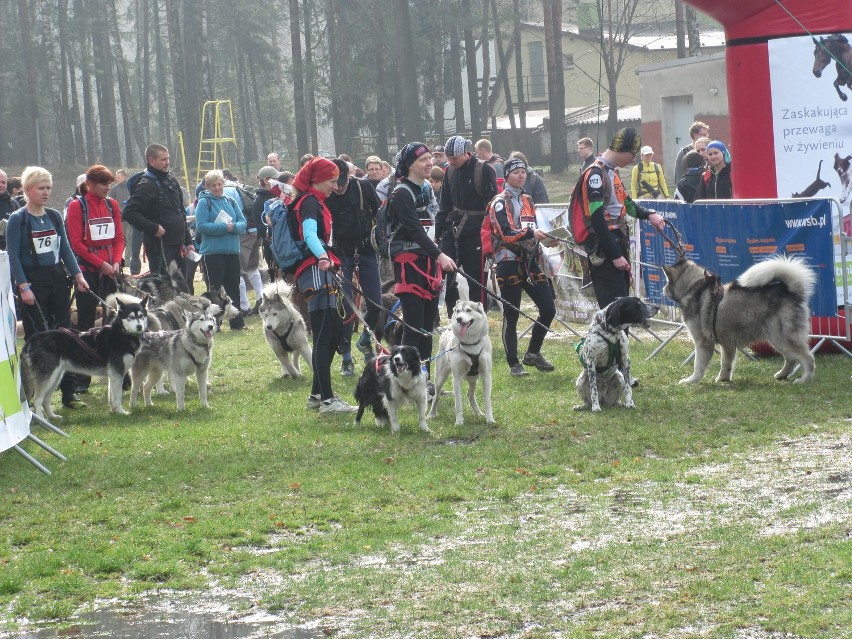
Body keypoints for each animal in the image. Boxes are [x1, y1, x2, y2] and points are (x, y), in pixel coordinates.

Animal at [664, 255, 816, 384]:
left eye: (666, 280)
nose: (663, 289)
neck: (694, 288)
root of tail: (792, 292)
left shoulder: (703, 342)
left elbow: (698, 365)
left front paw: (691, 380)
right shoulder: (727, 344)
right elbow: (726, 363)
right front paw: (723, 379)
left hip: (781, 338)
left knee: (807, 358)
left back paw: (805, 379)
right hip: (776, 339)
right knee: (790, 359)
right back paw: (781, 375)